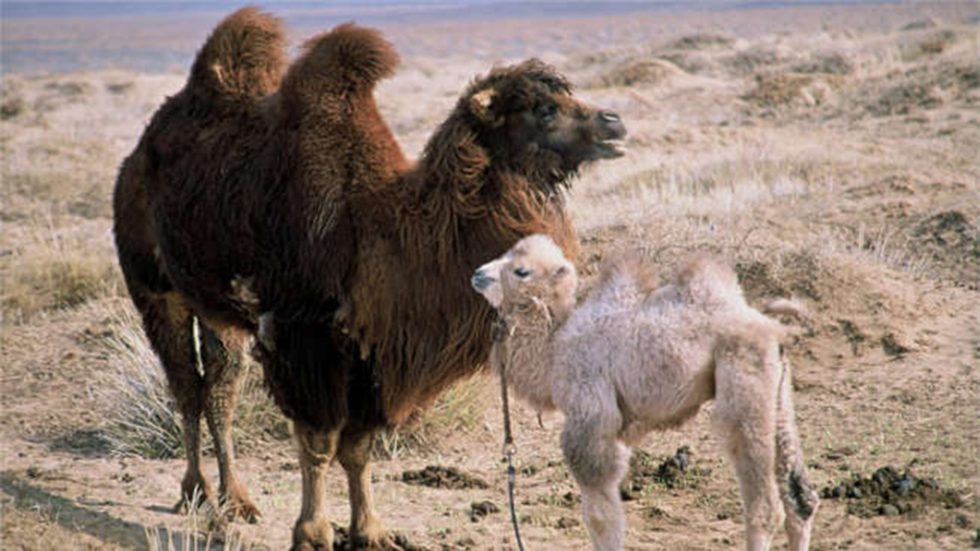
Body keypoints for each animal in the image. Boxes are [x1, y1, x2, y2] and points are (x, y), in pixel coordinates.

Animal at [113, 7, 626, 549]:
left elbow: (358, 449)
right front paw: (312, 532)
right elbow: (318, 442)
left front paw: (371, 531)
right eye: (543, 109)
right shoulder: (303, 337)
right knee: (186, 384)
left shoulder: (375, 348)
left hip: (218, 309)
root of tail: (140, 151)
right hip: (156, 289)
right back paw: (196, 493)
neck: (384, 228)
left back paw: (237, 500)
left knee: (220, 383)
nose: (613, 122)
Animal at [472, 235, 818, 550]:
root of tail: (775, 328)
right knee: (800, 497)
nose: (477, 274)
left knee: (764, 503)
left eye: (521, 271)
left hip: (744, 382)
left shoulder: (590, 414)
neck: (555, 348)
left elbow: (600, 516)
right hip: (777, 394)